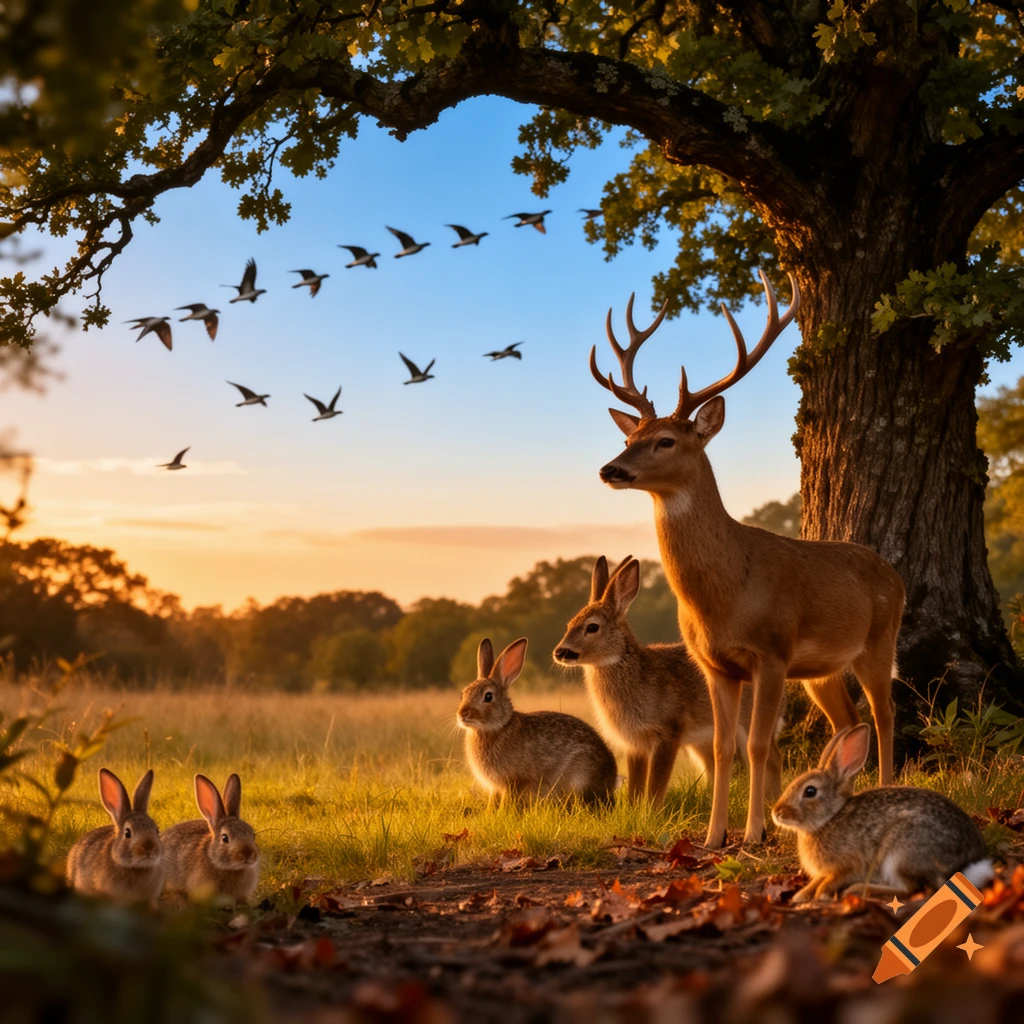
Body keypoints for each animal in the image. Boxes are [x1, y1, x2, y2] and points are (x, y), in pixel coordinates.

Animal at [457, 636, 618, 805]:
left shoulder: (512, 782)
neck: (499, 726)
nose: (462, 714)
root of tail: (611, 778)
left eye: (488, 696)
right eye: (463, 694)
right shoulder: (496, 788)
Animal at [554, 555, 783, 807]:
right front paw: (634, 809)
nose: (560, 652)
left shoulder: (668, 733)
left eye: (592, 627)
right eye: (569, 624)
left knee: (770, 758)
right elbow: (636, 786)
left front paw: (651, 811)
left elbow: (657, 784)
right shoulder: (636, 745)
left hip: (748, 721)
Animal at [590, 270, 905, 849]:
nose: (610, 469)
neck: (728, 592)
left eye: (665, 440)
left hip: (879, 638)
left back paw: (890, 790)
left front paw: (756, 832)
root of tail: (893, 572)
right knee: (846, 722)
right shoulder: (715, 663)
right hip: (821, 670)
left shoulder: (772, 651)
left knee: (884, 711)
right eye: (629, 435)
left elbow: (756, 745)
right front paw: (714, 837)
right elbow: (720, 748)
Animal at [772, 723, 993, 903]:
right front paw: (801, 895)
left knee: (911, 889)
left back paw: (858, 889)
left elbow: (831, 880)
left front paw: (821, 895)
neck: (830, 818)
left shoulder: (848, 865)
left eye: (810, 791)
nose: (777, 813)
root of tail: (965, 863)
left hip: (900, 852)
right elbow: (817, 881)